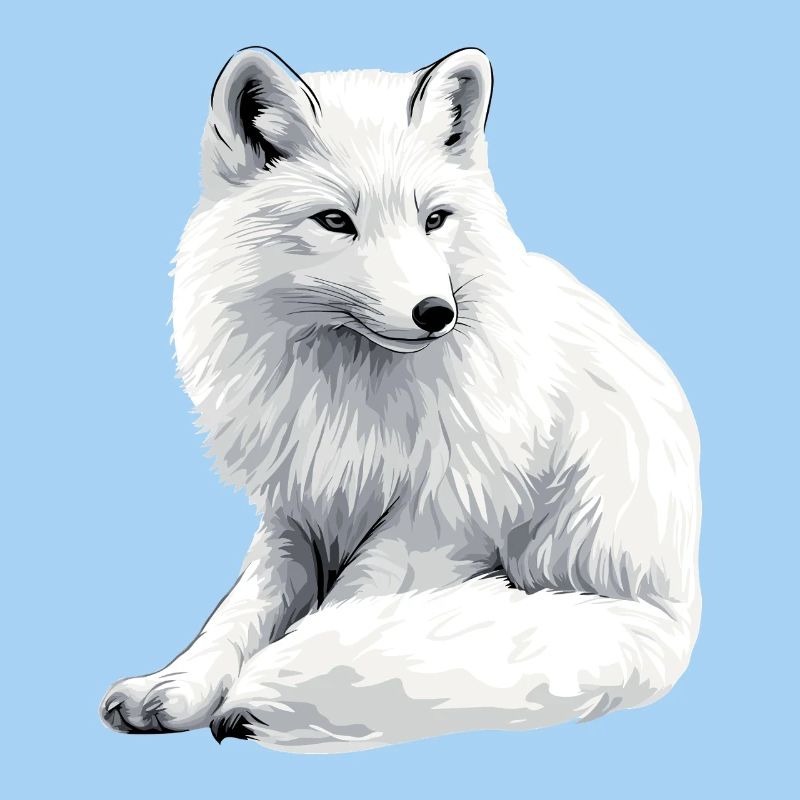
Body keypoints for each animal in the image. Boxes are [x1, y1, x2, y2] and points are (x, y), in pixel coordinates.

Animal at [100, 46, 702, 753]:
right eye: (336, 221)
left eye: (434, 219)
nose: (436, 313)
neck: (349, 392)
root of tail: (674, 614)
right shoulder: (295, 511)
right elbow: (240, 611)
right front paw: (177, 686)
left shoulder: (440, 517)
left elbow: (347, 612)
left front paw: (277, 681)